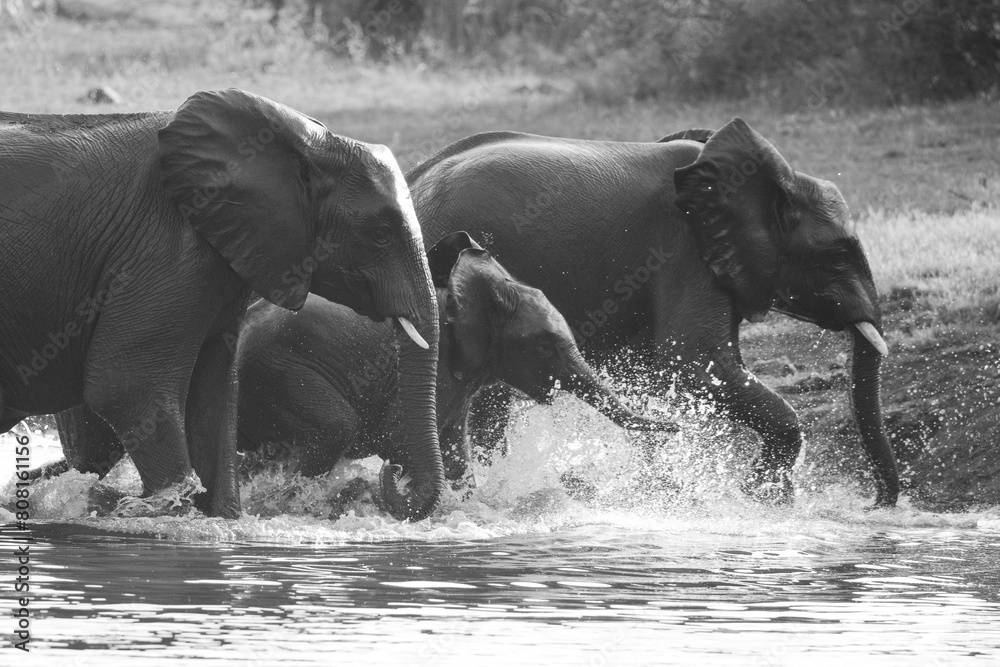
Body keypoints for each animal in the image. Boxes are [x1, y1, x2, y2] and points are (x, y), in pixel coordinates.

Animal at [0, 86, 442, 520]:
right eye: (381, 233)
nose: (393, 470)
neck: (309, 142)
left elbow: (213, 397)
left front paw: (222, 519)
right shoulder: (168, 245)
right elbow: (126, 385)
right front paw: (166, 511)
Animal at [234, 230, 672, 486]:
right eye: (544, 346)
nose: (678, 425)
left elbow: (456, 457)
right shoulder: (438, 370)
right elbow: (402, 444)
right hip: (280, 374)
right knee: (333, 431)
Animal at [406, 118, 900, 506]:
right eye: (837, 256)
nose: (876, 505)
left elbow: (657, 375)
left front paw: (666, 494)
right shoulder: (684, 252)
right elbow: (695, 362)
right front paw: (763, 497)